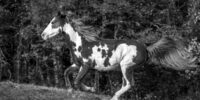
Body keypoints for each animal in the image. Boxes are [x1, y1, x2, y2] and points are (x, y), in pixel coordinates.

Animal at [40, 10, 197, 100]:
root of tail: (146, 48)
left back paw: (114, 97)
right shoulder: (77, 65)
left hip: (125, 66)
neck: (80, 44)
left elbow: (78, 81)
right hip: (127, 68)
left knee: (129, 84)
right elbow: (66, 73)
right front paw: (69, 90)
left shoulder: (86, 66)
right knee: (127, 84)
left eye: (53, 22)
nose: (42, 35)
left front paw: (91, 90)